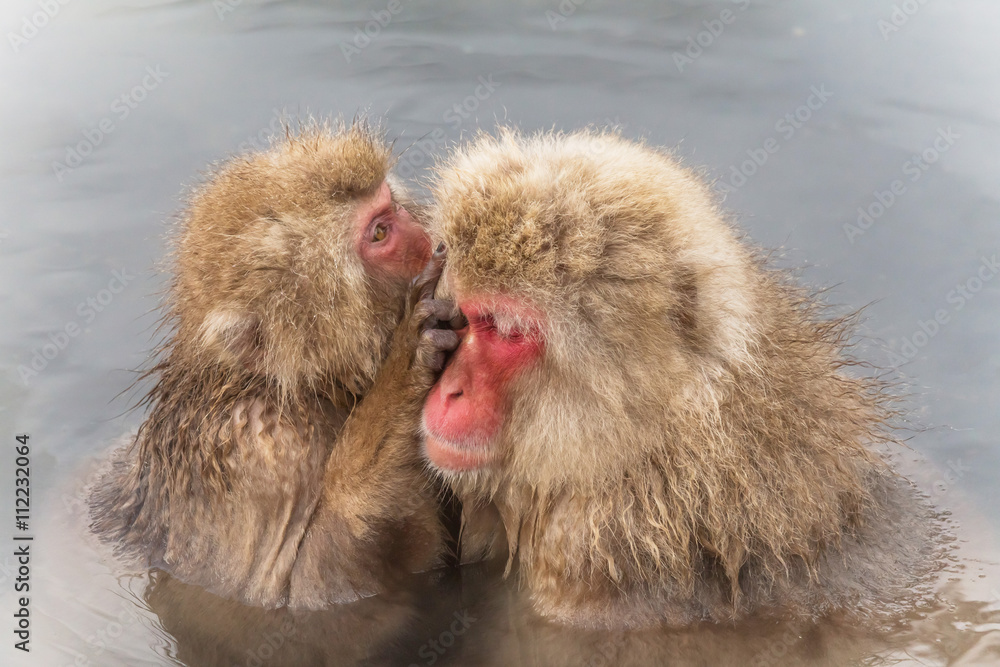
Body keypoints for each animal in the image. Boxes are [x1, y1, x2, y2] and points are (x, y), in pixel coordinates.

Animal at [89, 120, 462, 610]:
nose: (431, 239)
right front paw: (404, 368)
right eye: (381, 233)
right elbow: (314, 590)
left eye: (393, 206)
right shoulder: (265, 451)